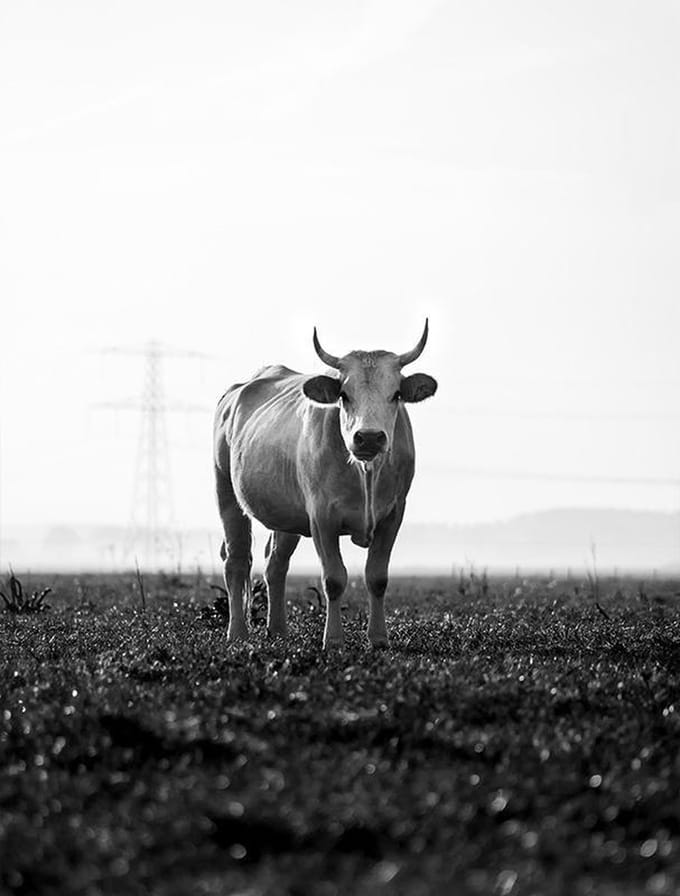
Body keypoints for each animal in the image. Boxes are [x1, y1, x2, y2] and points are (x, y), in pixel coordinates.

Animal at [213, 321, 437, 648]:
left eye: (396, 394)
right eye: (344, 394)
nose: (369, 437)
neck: (365, 473)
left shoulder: (393, 514)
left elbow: (377, 577)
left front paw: (378, 638)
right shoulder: (322, 517)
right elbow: (334, 578)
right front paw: (332, 640)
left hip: (288, 514)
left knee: (275, 564)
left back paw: (277, 630)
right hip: (227, 493)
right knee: (237, 560)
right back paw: (238, 633)